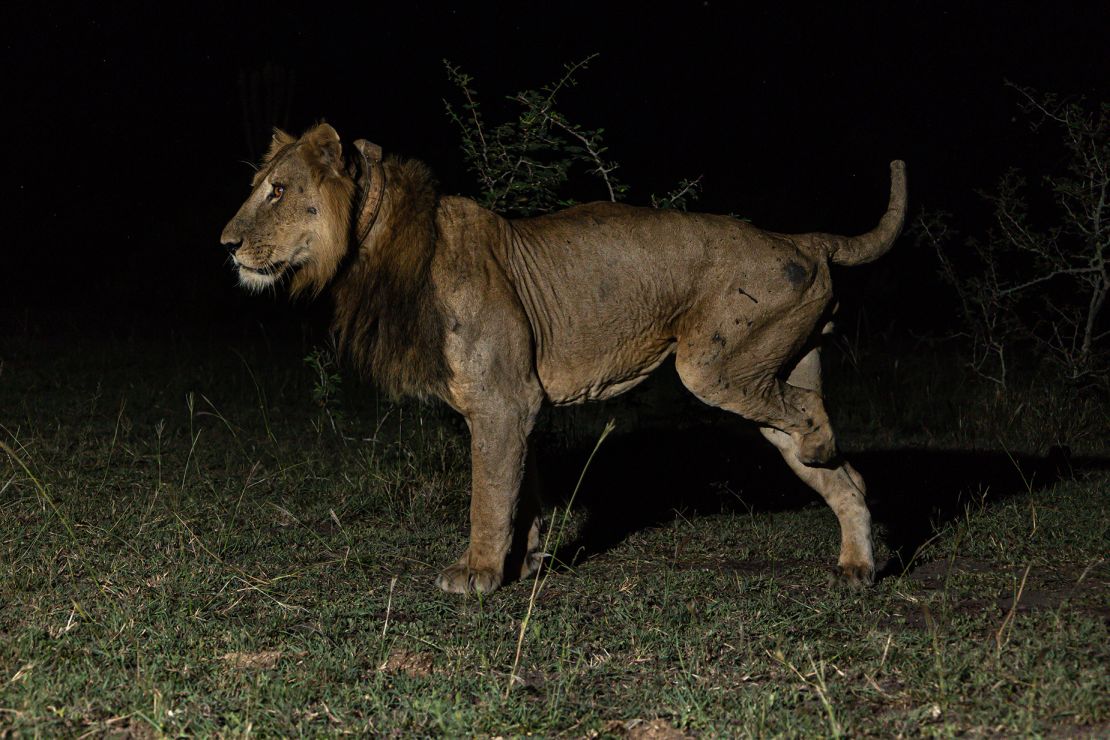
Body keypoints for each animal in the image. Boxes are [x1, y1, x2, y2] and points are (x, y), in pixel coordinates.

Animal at [220, 123, 905, 594]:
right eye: (258, 188)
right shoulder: (517, 404)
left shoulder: (503, 400)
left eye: (278, 191)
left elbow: (488, 494)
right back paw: (856, 566)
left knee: (811, 417)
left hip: (713, 365)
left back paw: (823, 451)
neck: (376, 247)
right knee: (844, 474)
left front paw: (477, 573)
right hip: (768, 369)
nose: (225, 245)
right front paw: (523, 562)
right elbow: (520, 489)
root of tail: (799, 238)